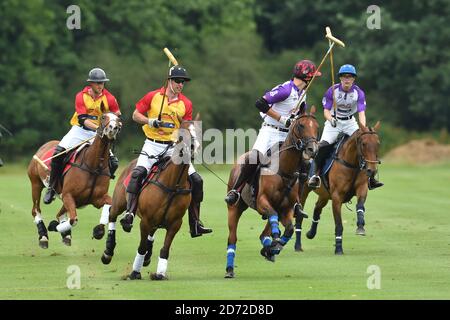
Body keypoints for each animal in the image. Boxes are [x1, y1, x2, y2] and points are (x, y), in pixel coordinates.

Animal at [28, 112, 123, 248]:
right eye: (104, 117)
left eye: (118, 118)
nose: (113, 128)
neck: (93, 166)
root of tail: (45, 145)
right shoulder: (68, 195)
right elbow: (73, 220)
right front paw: (53, 226)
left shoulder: (98, 198)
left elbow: (108, 210)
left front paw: (98, 230)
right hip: (36, 183)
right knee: (36, 210)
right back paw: (44, 237)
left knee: (60, 213)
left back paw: (66, 235)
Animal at [96, 126, 192, 282]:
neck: (173, 186)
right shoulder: (146, 220)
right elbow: (141, 247)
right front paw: (135, 273)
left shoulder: (175, 223)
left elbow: (165, 249)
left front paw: (159, 274)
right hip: (120, 202)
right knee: (112, 213)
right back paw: (108, 251)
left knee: (151, 233)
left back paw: (147, 256)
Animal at [225, 105, 320, 278]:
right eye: (300, 125)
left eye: (317, 127)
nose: (312, 150)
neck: (284, 170)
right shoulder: (262, 201)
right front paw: (273, 245)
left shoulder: (286, 209)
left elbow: (289, 229)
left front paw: (273, 247)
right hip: (235, 207)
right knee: (232, 238)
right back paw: (229, 269)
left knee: (264, 234)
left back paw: (268, 248)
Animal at [294, 122, 382, 255]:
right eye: (363, 143)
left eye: (377, 143)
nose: (371, 171)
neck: (352, 163)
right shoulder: (336, 197)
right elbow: (339, 224)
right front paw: (339, 249)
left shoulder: (362, 188)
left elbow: (360, 206)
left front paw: (360, 227)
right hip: (304, 191)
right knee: (300, 216)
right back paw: (298, 246)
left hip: (324, 195)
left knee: (317, 209)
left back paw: (310, 233)